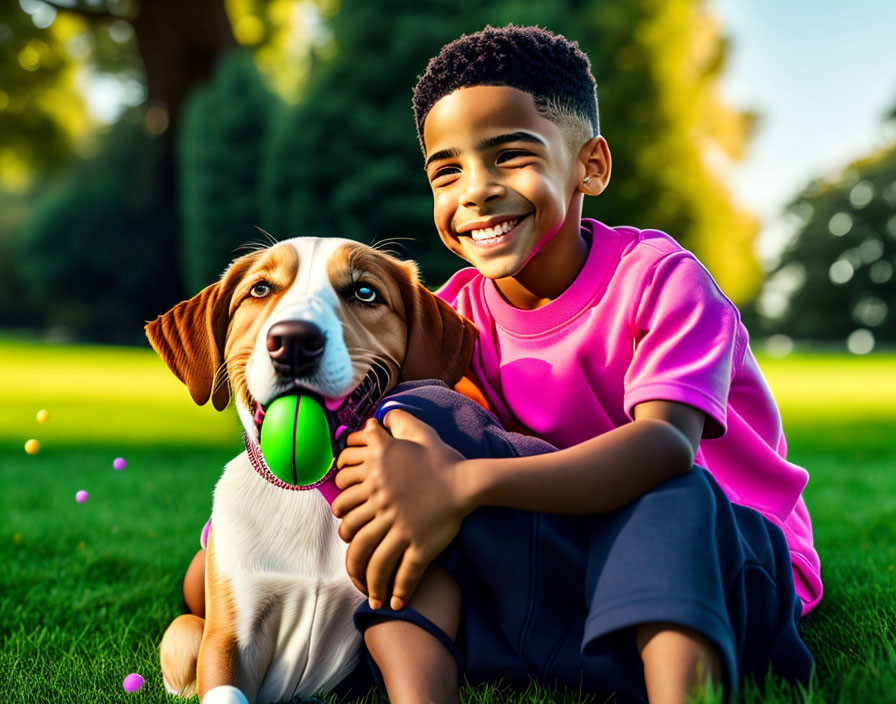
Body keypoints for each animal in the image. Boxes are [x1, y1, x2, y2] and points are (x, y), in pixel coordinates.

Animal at [147, 238, 480, 704]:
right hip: (184, 632)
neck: (309, 496)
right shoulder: (229, 636)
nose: (293, 342)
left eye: (364, 292)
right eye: (260, 289)